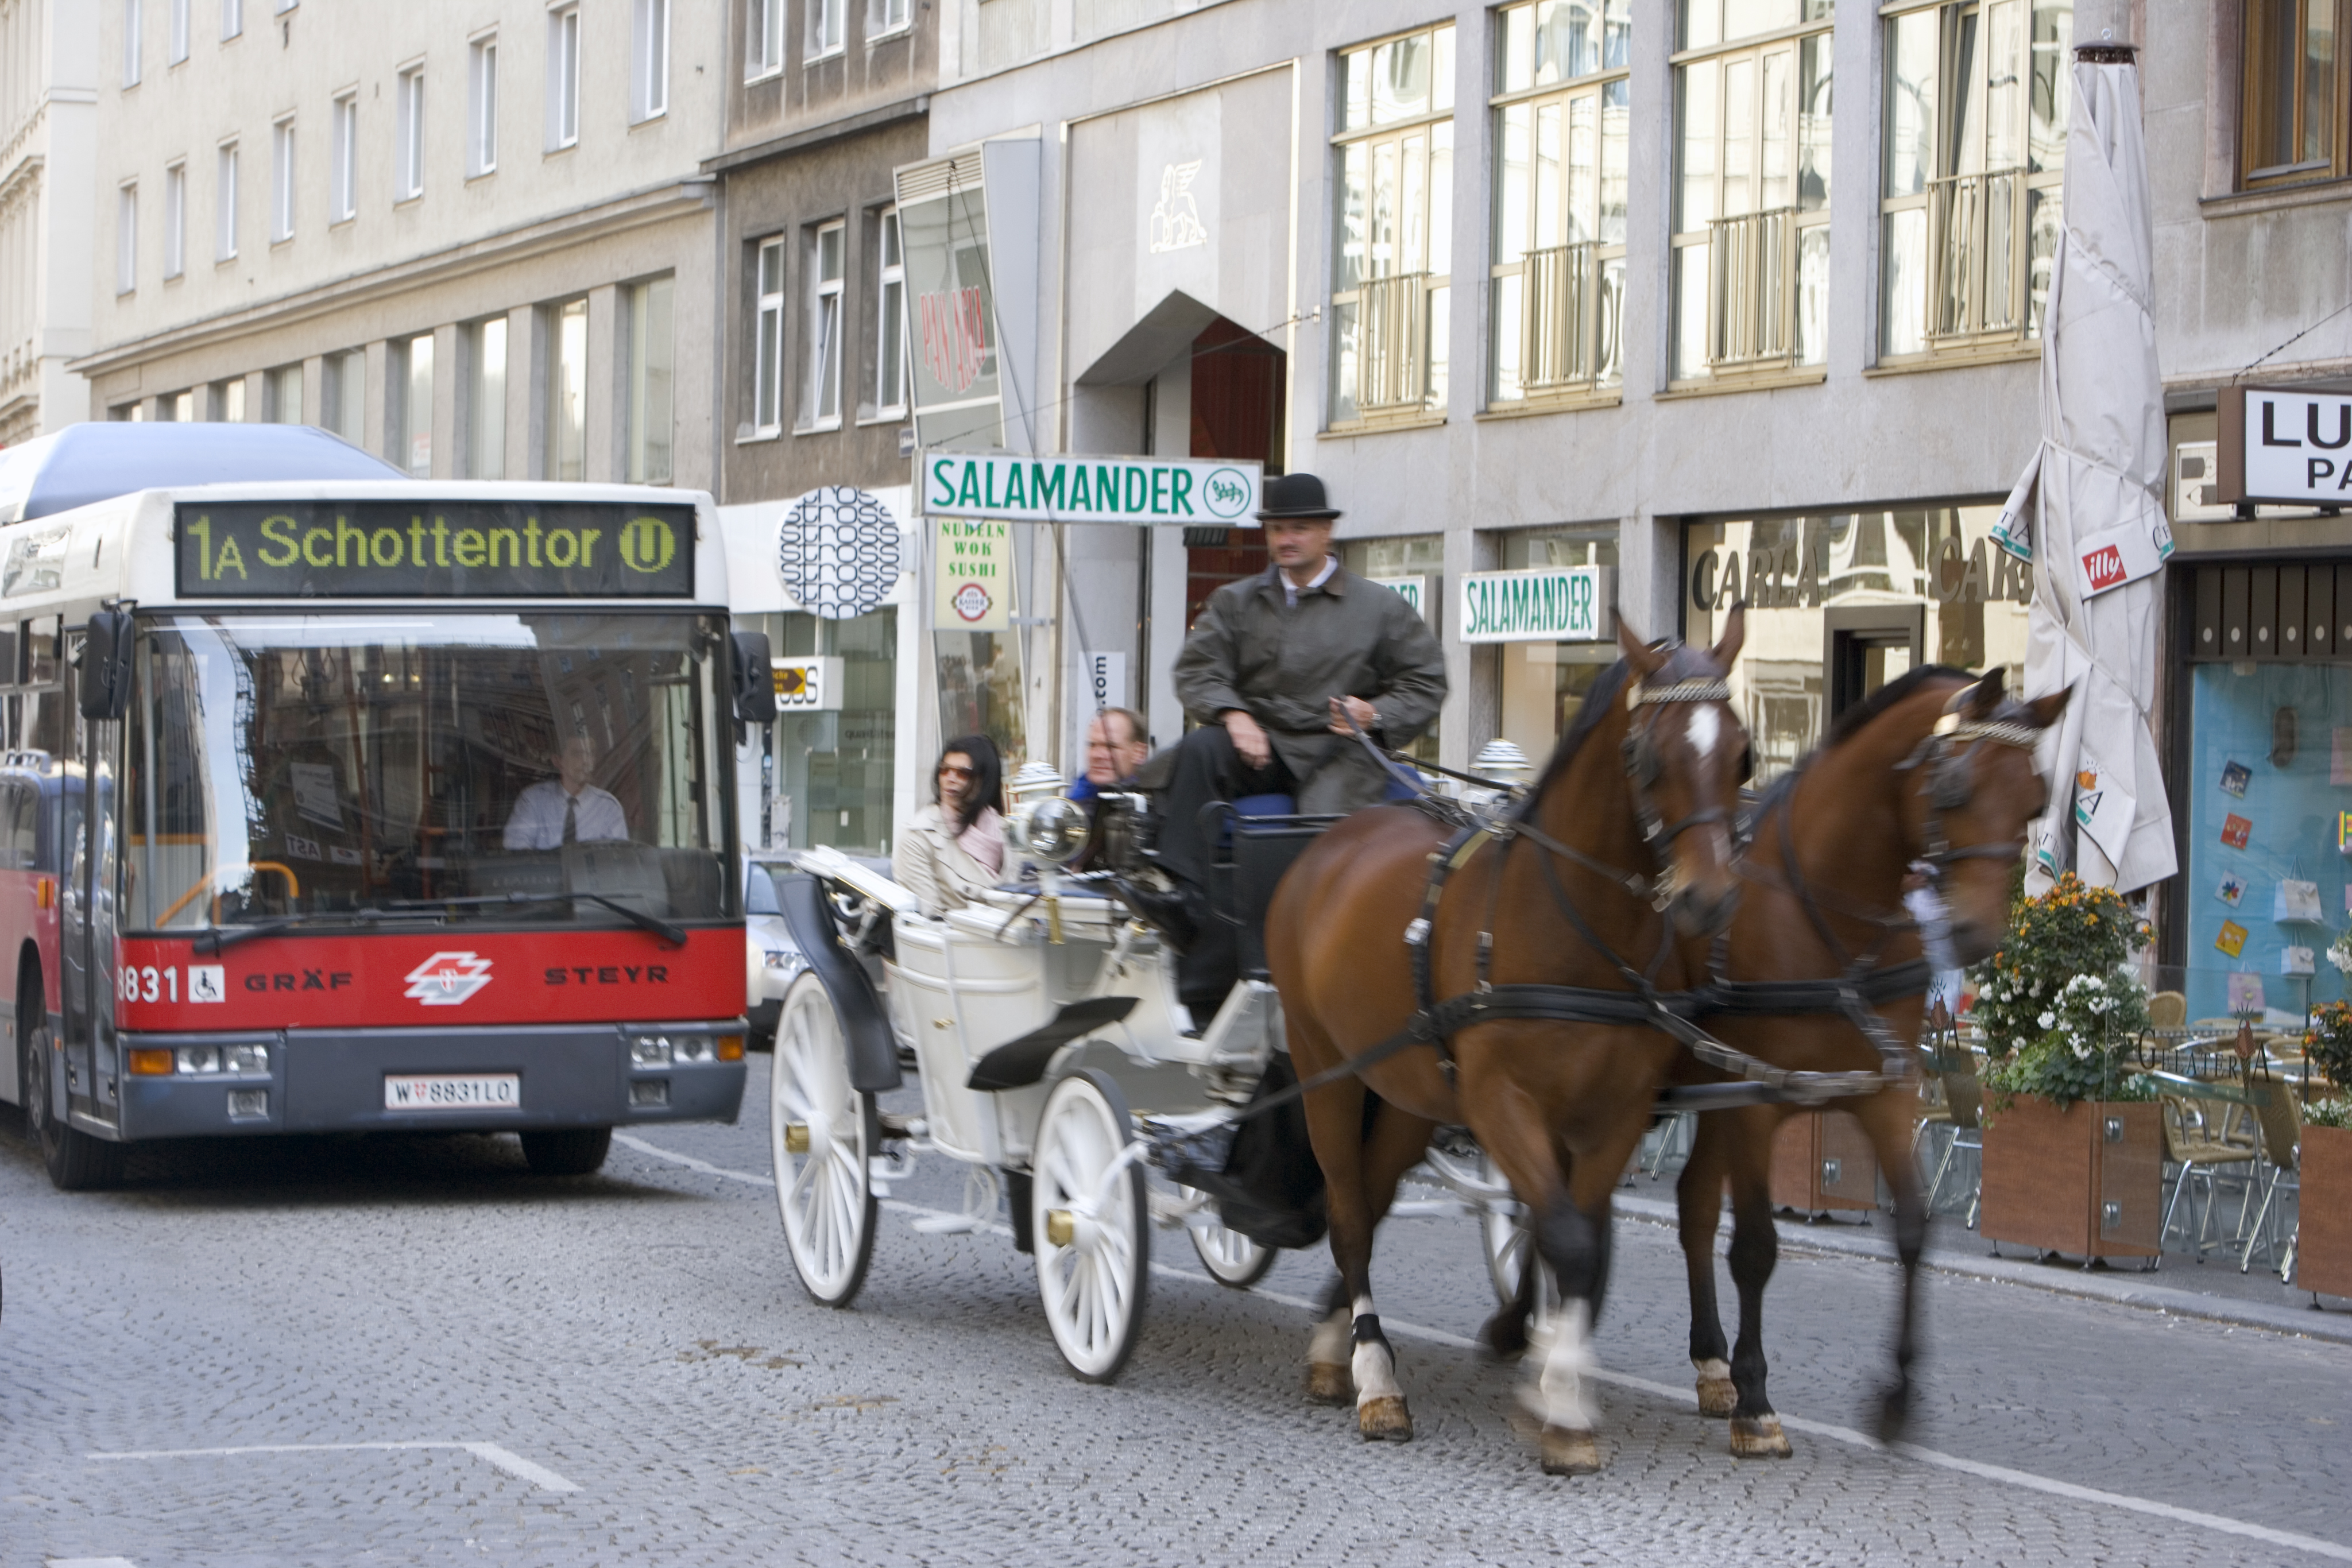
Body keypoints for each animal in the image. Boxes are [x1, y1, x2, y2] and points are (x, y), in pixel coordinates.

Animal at [1270, 611, 1750, 1476]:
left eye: (1740, 753)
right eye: (1649, 756)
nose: (1709, 898)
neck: (1568, 923)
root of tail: (1332, 842)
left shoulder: (1615, 1112)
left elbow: (1584, 1241)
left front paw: (1557, 1387)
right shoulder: (1500, 1101)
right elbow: (1563, 1233)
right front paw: (1555, 1396)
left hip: (1408, 1092)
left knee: (1375, 1197)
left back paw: (1336, 1346)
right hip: (1327, 1068)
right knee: (1350, 1213)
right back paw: (1374, 1376)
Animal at [1674, 667, 2060, 1457]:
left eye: (2036, 799)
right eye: (1955, 789)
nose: (1974, 935)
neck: (1826, 917)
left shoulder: (1887, 1095)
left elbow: (1912, 1230)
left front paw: (1897, 1397)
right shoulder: (1753, 1097)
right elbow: (1755, 1246)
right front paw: (1758, 1403)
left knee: (1692, 1202)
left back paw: (1710, 1363)